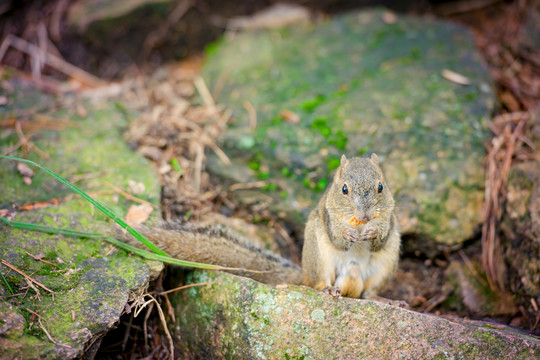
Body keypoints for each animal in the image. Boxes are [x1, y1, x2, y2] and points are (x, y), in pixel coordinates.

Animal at [120, 154, 398, 298]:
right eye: (344, 190)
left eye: (381, 187)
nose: (364, 216)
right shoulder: (328, 218)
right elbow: (338, 238)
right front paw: (349, 234)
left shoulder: (390, 222)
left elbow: (381, 239)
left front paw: (373, 232)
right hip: (319, 259)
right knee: (318, 283)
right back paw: (328, 289)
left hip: (384, 268)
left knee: (366, 293)